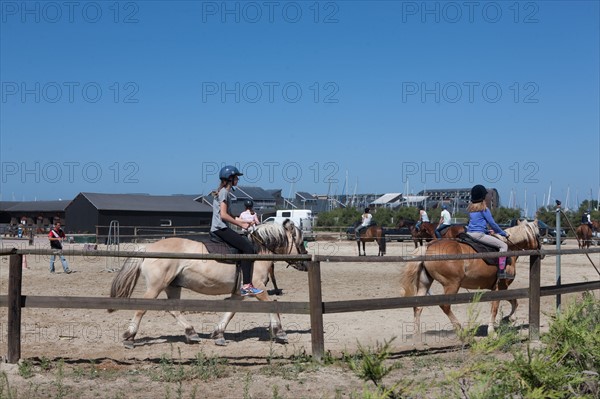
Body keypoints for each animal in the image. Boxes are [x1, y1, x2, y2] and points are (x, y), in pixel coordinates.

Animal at [106, 220, 310, 348]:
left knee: (173, 309)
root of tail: (147, 248)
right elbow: (272, 306)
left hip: (172, 286)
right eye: (300, 241)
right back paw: (129, 337)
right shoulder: (258, 288)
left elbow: (230, 312)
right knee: (142, 309)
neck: (258, 251)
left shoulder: (239, 293)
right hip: (156, 286)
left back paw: (191, 333)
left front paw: (218, 334)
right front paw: (280, 332)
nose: (306, 264)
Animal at [400, 220, 540, 340]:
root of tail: (428, 247)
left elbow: (514, 301)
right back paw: (459, 329)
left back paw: (416, 336)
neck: (509, 248)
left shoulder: (500, 288)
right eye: (538, 234)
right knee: (445, 306)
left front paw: (508, 318)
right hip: (452, 285)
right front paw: (492, 331)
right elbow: (497, 307)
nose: (540, 250)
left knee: (418, 306)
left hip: (425, 283)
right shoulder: (501, 287)